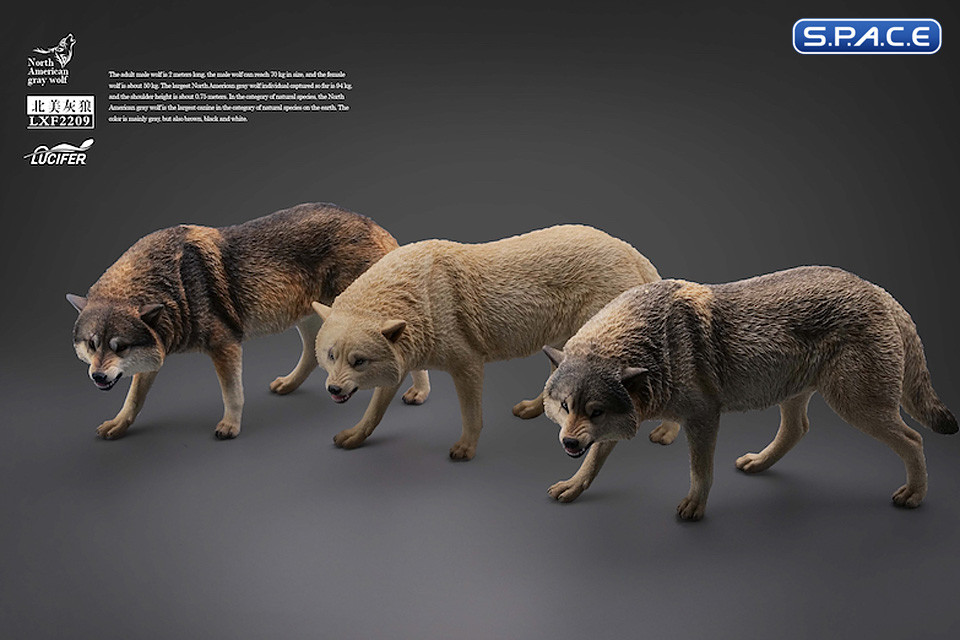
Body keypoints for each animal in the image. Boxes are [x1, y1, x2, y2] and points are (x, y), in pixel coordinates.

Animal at [67, 203, 430, 440]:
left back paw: (420, 393)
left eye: (120, 347)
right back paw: (288, 384)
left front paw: (230, 426)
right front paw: (118, 424)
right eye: (92, 345)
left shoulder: (225, 344)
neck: (175, 283)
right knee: (313, 355)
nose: (98, 376)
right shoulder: (156, 350)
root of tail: (377, 226)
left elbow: (232, 393)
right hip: (311, 316)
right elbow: (134, 398)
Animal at [311, 224, 679, 462]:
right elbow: (374, 411)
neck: (421, 298)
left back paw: (667, 433)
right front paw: (354, 436)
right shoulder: (400, 361)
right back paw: (533, 408)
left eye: (358, 361)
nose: (333, 390)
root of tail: (629, 250)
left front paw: (465, 450)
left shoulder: (468, 365)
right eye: (331, 356)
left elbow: (472, 415)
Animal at [542, 266, 957, 520]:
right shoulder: (624, 420)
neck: (658, 348)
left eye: (595, 410)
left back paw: (914, 494)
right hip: (796, 394)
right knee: (798, 430)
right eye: (565, 406)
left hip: (857, 406)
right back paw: (759, 463)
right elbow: (593, 462)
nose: (568, 443)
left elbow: (700, 471)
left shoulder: (703, 417)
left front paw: (695, 507)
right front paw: (573, 486)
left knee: (914, 438)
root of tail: (879, 291)